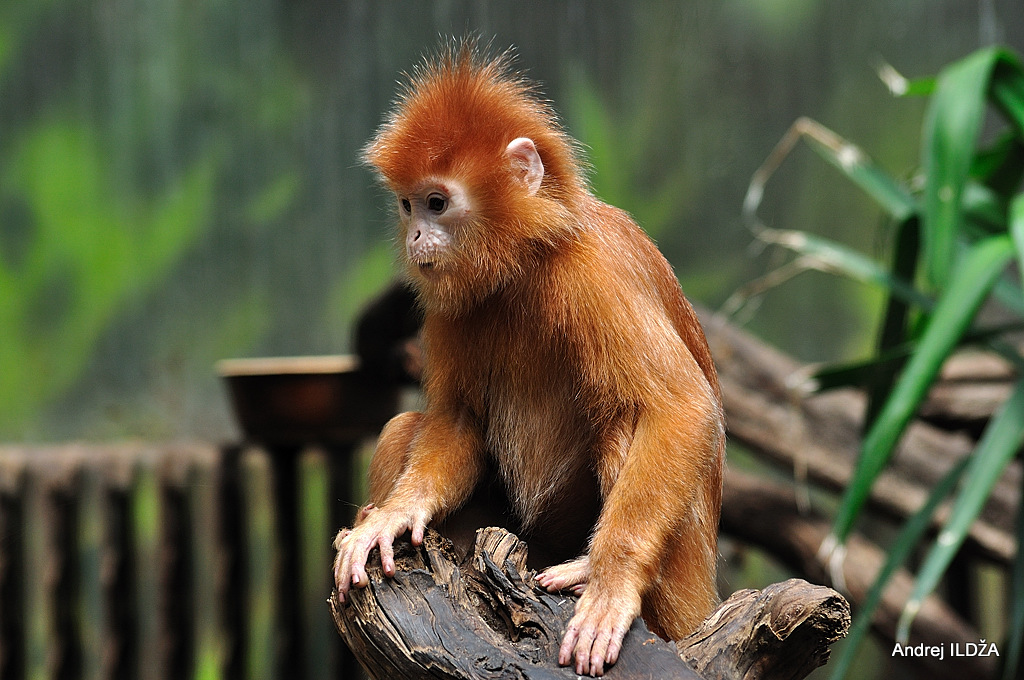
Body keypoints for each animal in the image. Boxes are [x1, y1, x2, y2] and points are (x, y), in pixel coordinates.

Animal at [331, 41, 724, 675]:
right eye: (408, 205)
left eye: (437, 203)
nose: (415, 237)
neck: (523, 268)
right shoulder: (450, 305)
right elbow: (456, 419)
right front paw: (393, 515)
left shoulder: (597, 269)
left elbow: (681, 407)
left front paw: (610, 584)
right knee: (401, 426)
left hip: (680, 586)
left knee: (626, 416)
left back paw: (591, 571)